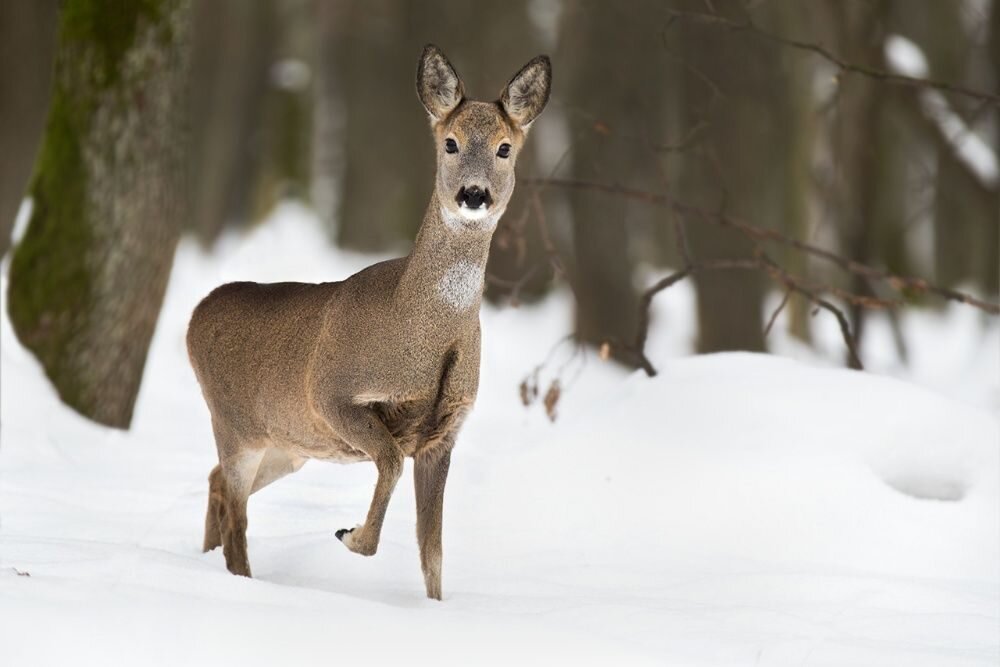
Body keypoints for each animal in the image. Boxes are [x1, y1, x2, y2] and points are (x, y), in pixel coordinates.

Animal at [184, 45, 552, 600]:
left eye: (504, 148)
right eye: (450, 142)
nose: (473, 194)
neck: (425, 334)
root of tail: (196, 313)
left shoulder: (444, 432)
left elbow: (433, 552)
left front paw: (435, 607)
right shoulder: (331, 393)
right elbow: (392, 463)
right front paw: (351, 536)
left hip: (286, 443)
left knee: (215, 487)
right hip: (233, 424)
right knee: (236, 517)